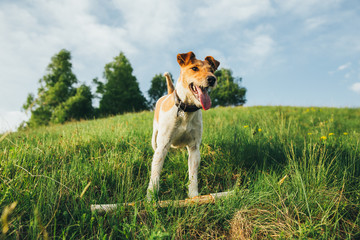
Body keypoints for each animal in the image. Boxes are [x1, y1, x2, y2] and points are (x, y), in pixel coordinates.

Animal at [146, 51, 219, 200]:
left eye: (212, 70)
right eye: (194, 68)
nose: (212, 79)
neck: (186, 110)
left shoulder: (194, 148)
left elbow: (193, 175)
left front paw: (194, 196)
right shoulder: (163, 146)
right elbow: (155, 173)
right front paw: (150, 198)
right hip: (155, 138)